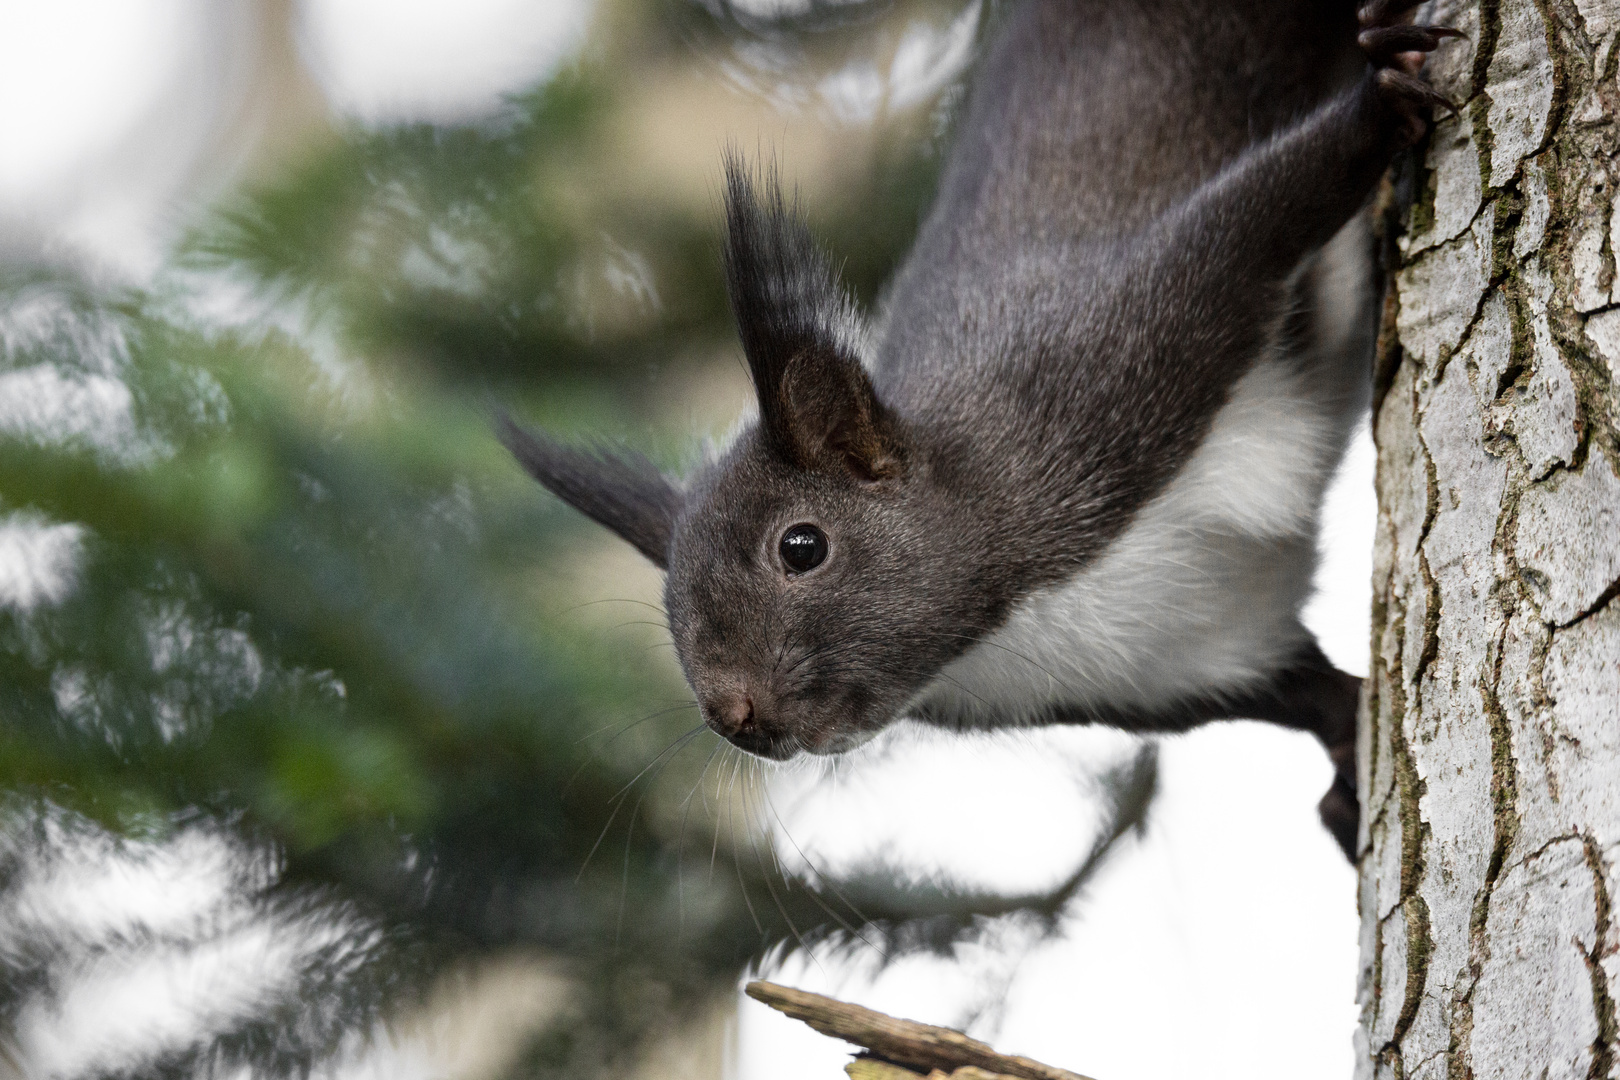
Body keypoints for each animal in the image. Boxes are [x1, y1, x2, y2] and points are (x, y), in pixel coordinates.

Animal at [498, 0, 1464, 861]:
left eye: (801, 547)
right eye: (666, 600)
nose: (734, 717)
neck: (1005, 625)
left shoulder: (1110, 357)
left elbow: (1260, 214)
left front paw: (1382, 101)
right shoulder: (1188, 662)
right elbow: (1310, 695)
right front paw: (1348, 760)